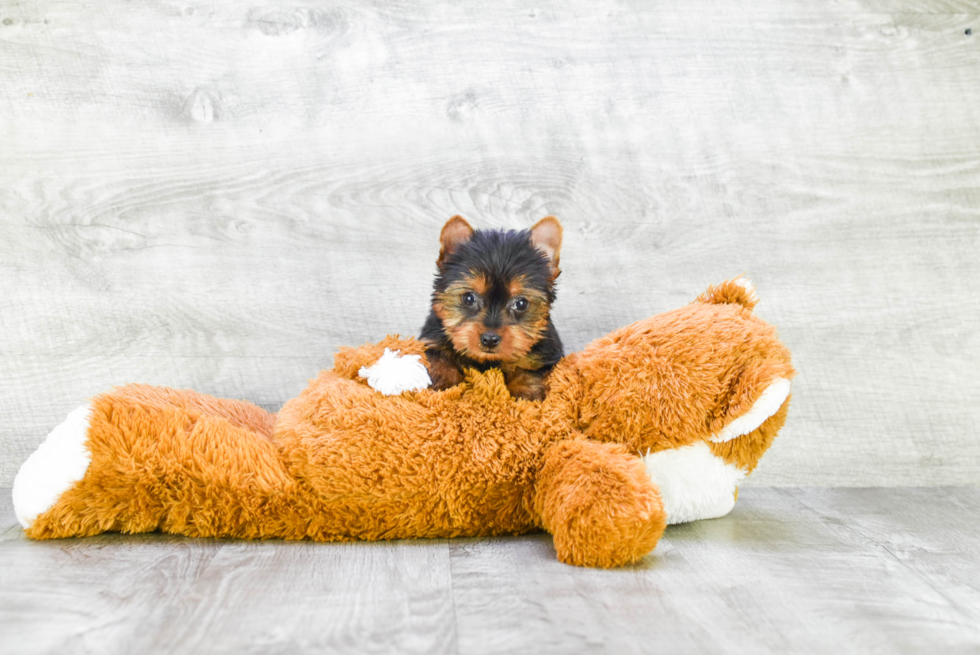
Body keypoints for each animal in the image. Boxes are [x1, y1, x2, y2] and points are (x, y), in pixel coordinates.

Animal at [422, 217, 568, 400]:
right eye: (469, 298)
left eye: (521, 304)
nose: (490, 339)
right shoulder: (433, 337)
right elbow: (438, 357)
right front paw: (444, 384)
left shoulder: (545, 354)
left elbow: (529, 370)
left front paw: (526, 395)